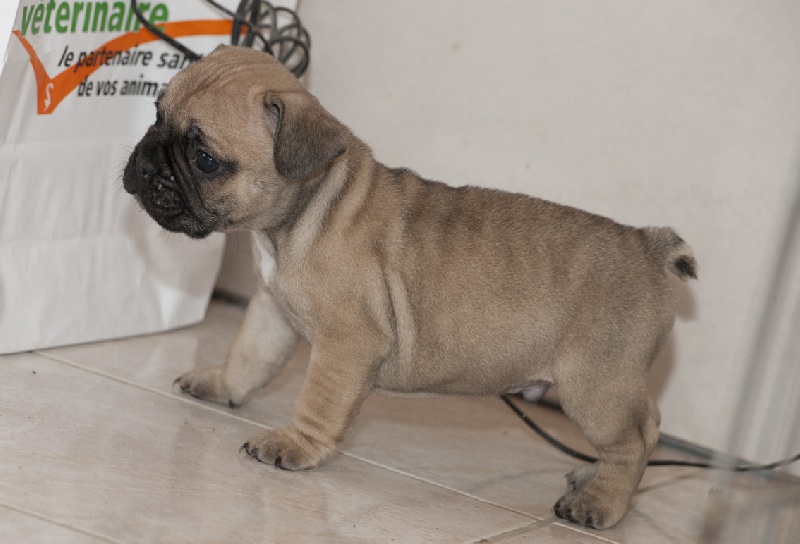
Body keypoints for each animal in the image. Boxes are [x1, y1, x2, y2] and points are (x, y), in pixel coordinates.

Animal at [123, 45, 696, 529]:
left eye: (205, 159)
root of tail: (649, 245)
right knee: (644, 427)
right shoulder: (271, 312)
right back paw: (592, 478)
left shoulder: (347, 343)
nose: (146, 160)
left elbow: (317, 402)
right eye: (155, 115)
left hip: (594, 384)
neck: (302, 215)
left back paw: (601, 502)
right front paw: (220, 384)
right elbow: (248, 358)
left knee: (637, 439)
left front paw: (294, 447)